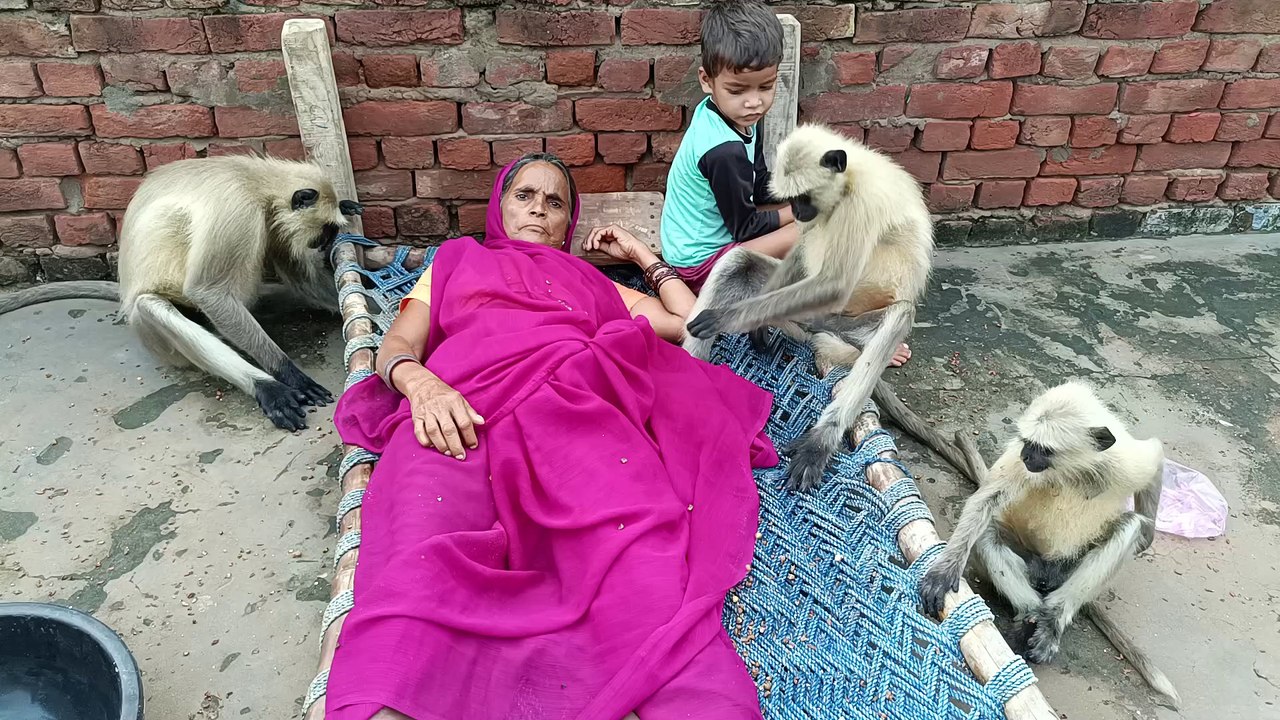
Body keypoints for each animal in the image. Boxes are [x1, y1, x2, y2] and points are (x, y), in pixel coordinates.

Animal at [0, 155, 364, 432]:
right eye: (324, 232)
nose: (325, 244)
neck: (254, 180)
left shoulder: (272, 220)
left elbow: (301, 279)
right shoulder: (238, 209)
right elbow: (208, 291)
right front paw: (285, 371)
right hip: (153, 334)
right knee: (152, 306)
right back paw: (267, 388)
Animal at [683, 123, 934, 492]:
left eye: (803, 198)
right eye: (793, 200)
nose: (799, 213)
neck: (852, 178)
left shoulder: (862, 204)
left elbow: (834, 283)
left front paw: (726, 318)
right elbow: (801, 250)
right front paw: (756, 325)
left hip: (847, 325)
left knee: (898, 316)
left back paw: (821, 441)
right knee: (739, 261)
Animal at [917, 380, 1180, 708]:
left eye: (1043, 449)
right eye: (1027, 443)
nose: (1026, 456)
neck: (1072, 472)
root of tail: (1046, 577)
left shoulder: (1121, 460)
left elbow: (1155, 457)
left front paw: (1149, 535)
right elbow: (984, 501)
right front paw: (943, 573)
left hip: (1068, 567)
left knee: (1129, 526)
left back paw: (1053, 618)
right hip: (1029, 558)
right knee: (987, 531)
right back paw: (1030, 613)